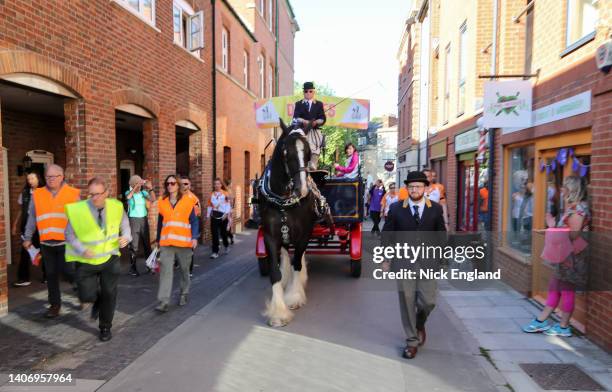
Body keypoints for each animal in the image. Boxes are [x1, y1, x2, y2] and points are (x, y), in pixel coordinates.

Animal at [256, 119, 318, 328]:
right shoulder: (269, 235)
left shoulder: (304, 233)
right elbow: (275, 272)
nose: (302, 189)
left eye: (308, 152)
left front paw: (294, 297)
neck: (282, 199)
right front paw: (278, 313)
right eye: (285, 152)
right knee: (284, 254)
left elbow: (297, 262)